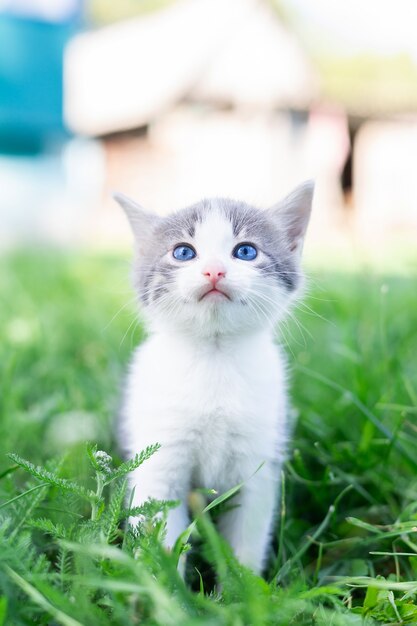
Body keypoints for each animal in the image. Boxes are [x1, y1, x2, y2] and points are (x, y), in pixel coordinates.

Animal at [114, 179, 312, 572]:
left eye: (246, 251)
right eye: (183, 252)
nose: (215, 271)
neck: (214, 357)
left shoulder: (258, 463)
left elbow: (247, 539)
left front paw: (243, 586)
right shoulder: (160, 460)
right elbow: (159, 533)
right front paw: (165, 586)